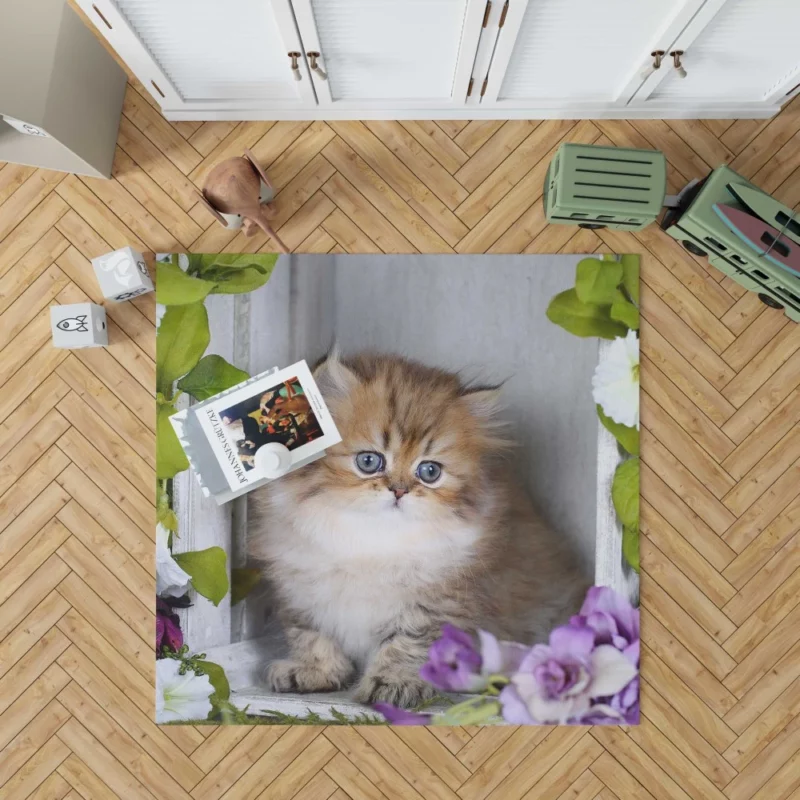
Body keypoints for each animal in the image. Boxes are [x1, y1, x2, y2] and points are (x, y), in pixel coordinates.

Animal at [248, 350, 588, 708]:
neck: (371, 543)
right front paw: (315, 671)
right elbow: (311, 635)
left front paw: (395, 683)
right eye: (369, 462)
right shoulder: (300, 591)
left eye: (429, 471)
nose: (399, 490)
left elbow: (408, 643)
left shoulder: (437, 603)